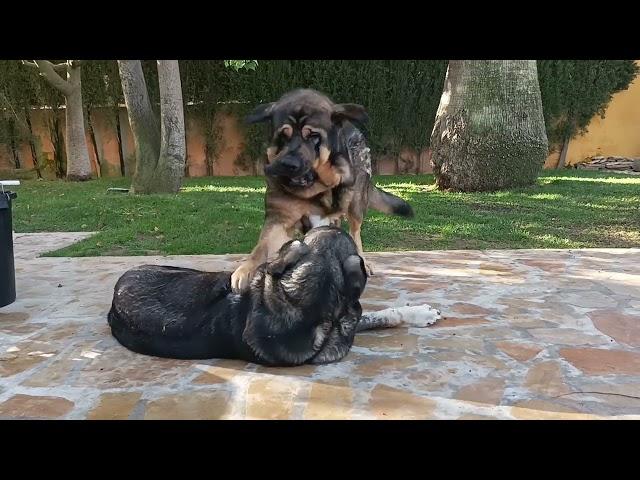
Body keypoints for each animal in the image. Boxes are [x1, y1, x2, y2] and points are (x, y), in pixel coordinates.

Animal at [232, 89, 412, 292]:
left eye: (313, 136)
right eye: (283, 136)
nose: (288, 164)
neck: (312, 191)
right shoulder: (280, 220)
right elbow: (261, 247)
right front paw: (245, 270)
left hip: (356, 205)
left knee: (355, 233)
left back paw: (362, 261)